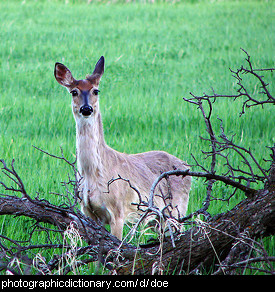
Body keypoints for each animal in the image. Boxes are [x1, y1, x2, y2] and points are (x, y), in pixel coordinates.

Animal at [54, 56, 192, 240]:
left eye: (96, 91)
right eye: (74, 92)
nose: (86, 108)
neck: (93, 173)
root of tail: (186, 166)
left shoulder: (118, 210)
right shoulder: (90, 213)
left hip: (178, 207)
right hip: (159, 218)